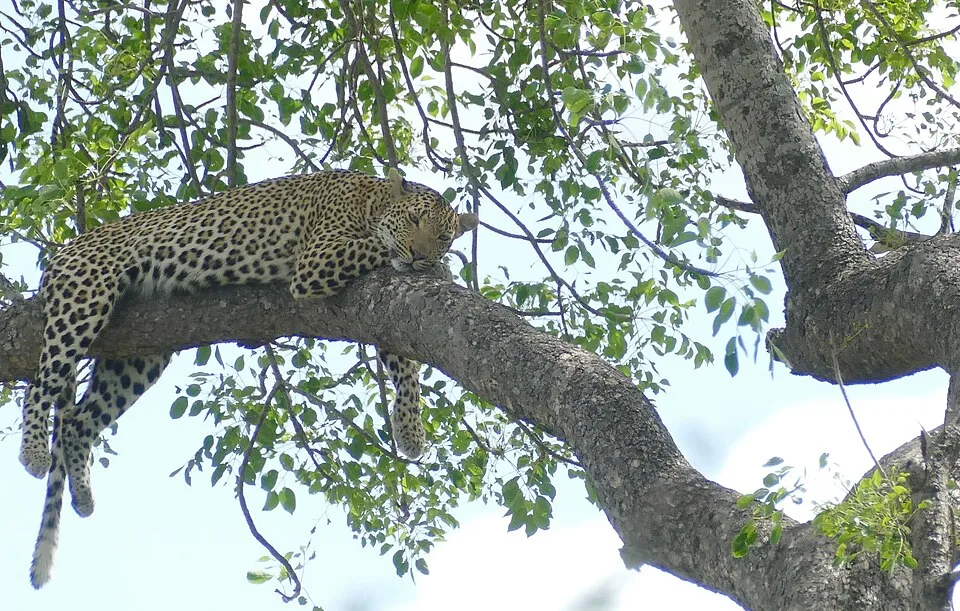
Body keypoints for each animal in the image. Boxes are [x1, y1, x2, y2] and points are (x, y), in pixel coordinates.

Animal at [23, 168, 479, 588]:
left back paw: (83, 495)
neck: (373, 199)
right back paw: (33, 454)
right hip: (84, 298)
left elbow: (405, 364)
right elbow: (378, 249)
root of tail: (64, 250)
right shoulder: (316, 261)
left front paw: (410, 431)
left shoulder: (380, 317)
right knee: (40, 385)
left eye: (444, 236)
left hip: (139, 353)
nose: (419, 256)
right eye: (414, 220)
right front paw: (439, 270)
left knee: (77, 419)